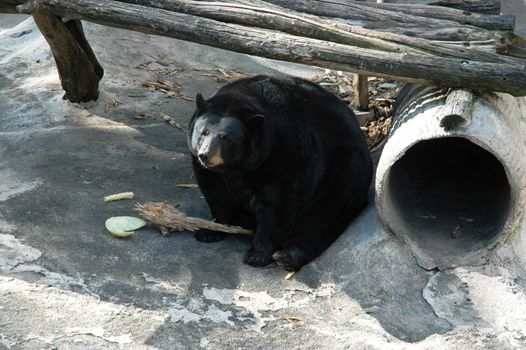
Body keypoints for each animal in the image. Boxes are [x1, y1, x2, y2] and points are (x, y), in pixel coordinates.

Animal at [188, 74, 374, 270]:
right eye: (204, 132)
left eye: (226, 138)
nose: (205, 155)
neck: (236, 167)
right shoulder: (209, 172)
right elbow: (216, 196)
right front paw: (209, 231)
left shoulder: (282, 156)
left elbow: (275, 206)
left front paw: (257, 255)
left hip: (344, 170)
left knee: (323, 214)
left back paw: (288, 256)